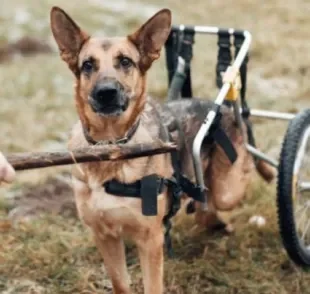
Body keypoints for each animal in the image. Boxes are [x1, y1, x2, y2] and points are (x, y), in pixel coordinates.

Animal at [49, 6, 274, 292]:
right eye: (88, 65)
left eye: (126, 62)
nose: (106, 92)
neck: (111, 149)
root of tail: (224, 109)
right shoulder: (105, 236)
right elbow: (121, 283)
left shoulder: (150, 240)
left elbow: (152, 285)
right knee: (205, 205)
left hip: (229, 187)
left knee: (231, 186)